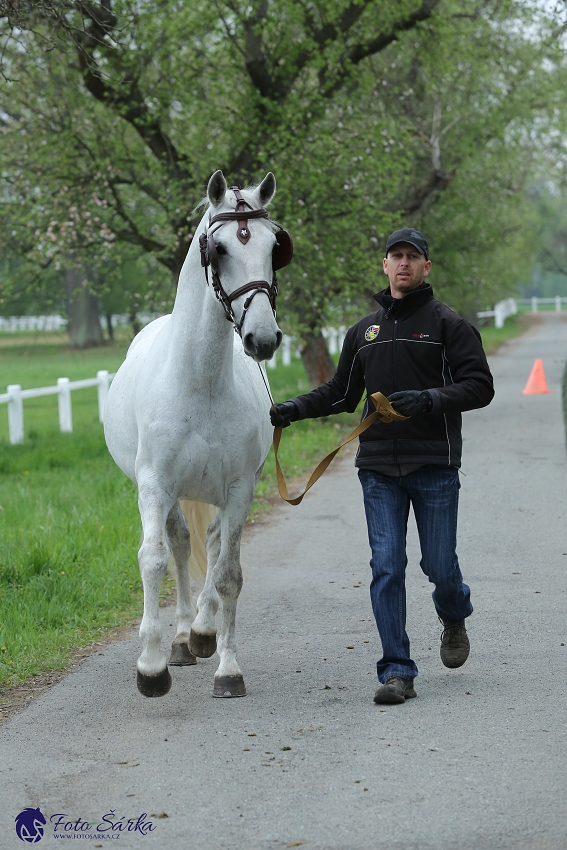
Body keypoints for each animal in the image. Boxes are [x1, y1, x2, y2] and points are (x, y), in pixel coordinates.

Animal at [103, 171, 292, 696]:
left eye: (274, 246)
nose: (262, 338)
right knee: (180, 543)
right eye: (220, 248)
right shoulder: (154, 484)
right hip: (170, 493)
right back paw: (183, 638)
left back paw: (203, 631)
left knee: (208, 542)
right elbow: (154, 558)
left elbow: (228, 574)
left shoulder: (240, 487)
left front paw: (228, 668)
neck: (200, 382)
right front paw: (151, 666)